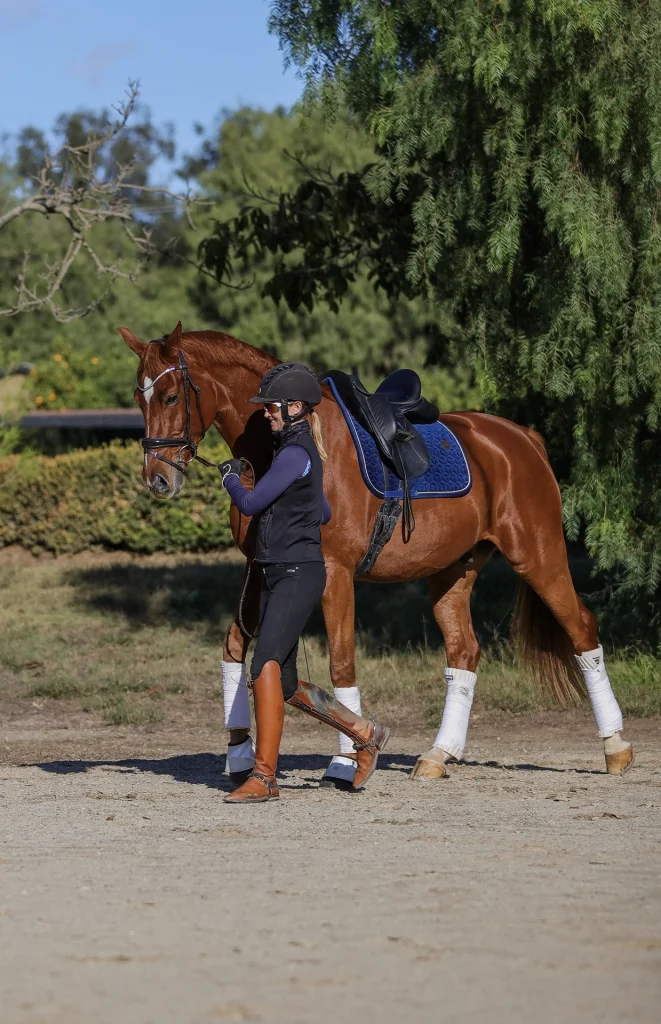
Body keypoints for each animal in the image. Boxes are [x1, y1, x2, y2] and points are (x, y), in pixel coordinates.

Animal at [119, 321, 634, 782]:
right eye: (138, 398)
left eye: (170, 397)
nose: (157, 480)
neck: (283, 448)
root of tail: (523, 439)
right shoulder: (259, 568)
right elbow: (235, 647)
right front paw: (241, 753)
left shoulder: (334, 572)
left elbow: (341, 662)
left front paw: (346, 761)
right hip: (452, 571)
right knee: (464, 653)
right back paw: (438, 755)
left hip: (537, 555)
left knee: (582, 629)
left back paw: (616, 747)